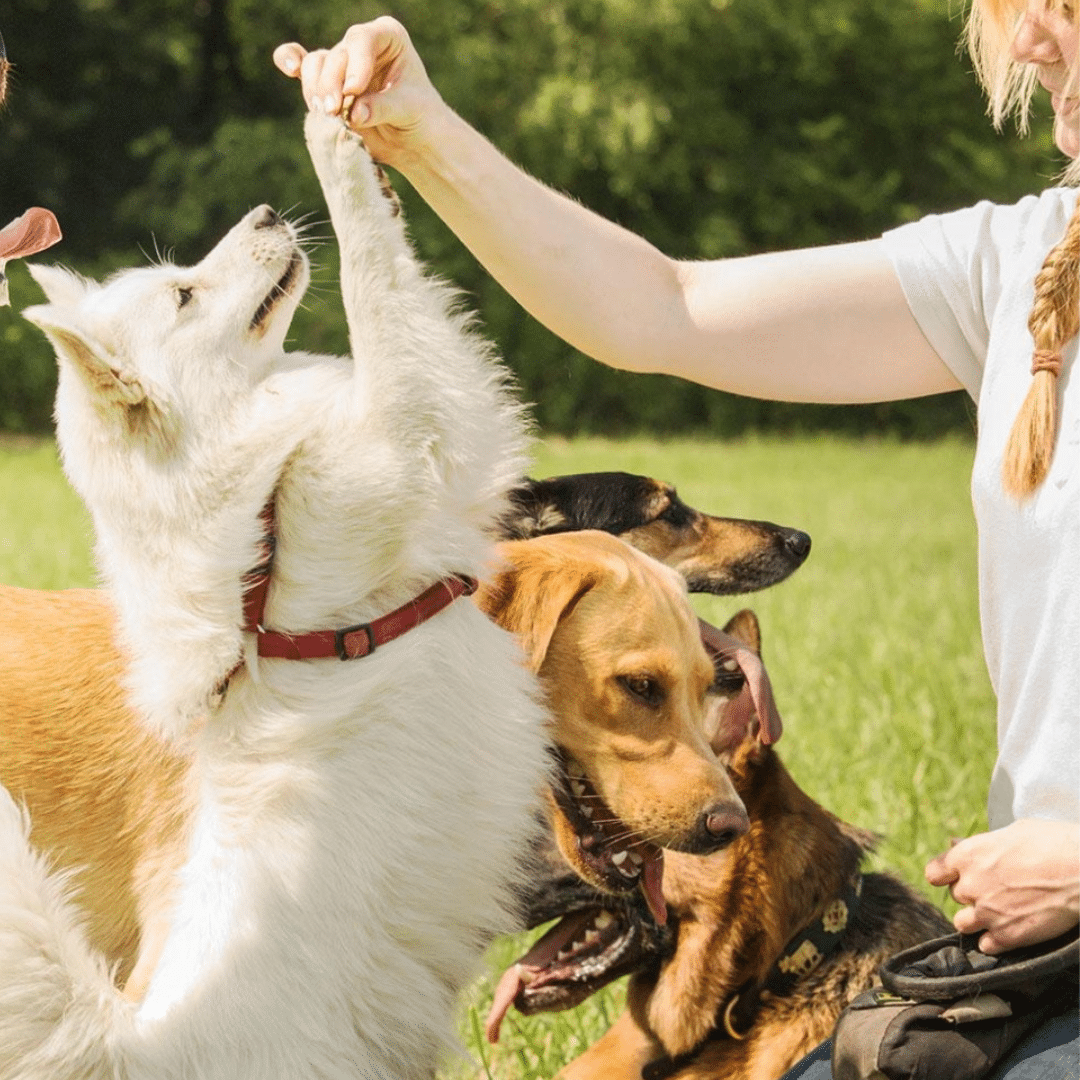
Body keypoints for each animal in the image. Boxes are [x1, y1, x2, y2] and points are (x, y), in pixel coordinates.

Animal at [2, 109, 548, 1080]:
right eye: (185, 295)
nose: (261, 211)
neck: (263, 525)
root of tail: (137, 1048)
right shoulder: (419, 428)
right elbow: (379, 279)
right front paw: (333, 141)